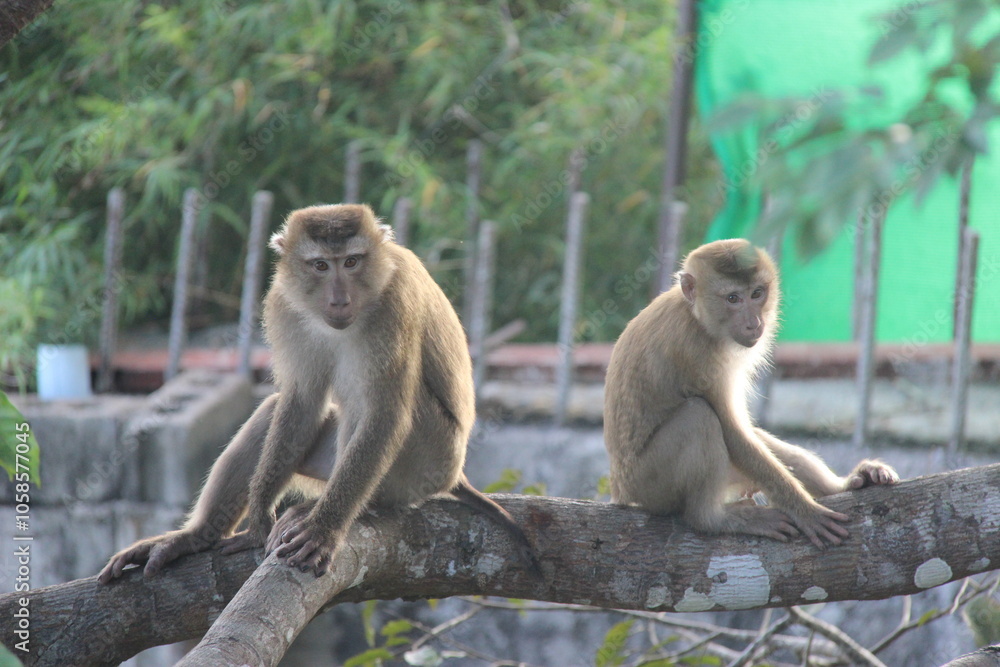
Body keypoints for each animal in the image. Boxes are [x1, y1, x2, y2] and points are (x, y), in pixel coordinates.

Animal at [100, 203, 536, 582]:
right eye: (321, 265)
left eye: (352, 262)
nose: (339, 298)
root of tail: (455, 474)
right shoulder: (283, 303)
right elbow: (300, 400)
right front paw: (258, 516)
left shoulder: (394, 308)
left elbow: (385, 414)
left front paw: (325, 529)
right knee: (275, 411)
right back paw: (198, 536)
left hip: (428, 460)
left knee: (372, 408)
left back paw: (349, 508)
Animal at [603, 239, 898, 548]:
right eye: (732, 298)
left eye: (757, 294)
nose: (754, 322)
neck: (695, 315)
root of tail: (620, 491)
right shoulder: (697, 353)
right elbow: (734, 433)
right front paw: (804, 510)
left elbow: (747, 433)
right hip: (650, 486)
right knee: (699, 416)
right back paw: (711, 518)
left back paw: (846, 482)